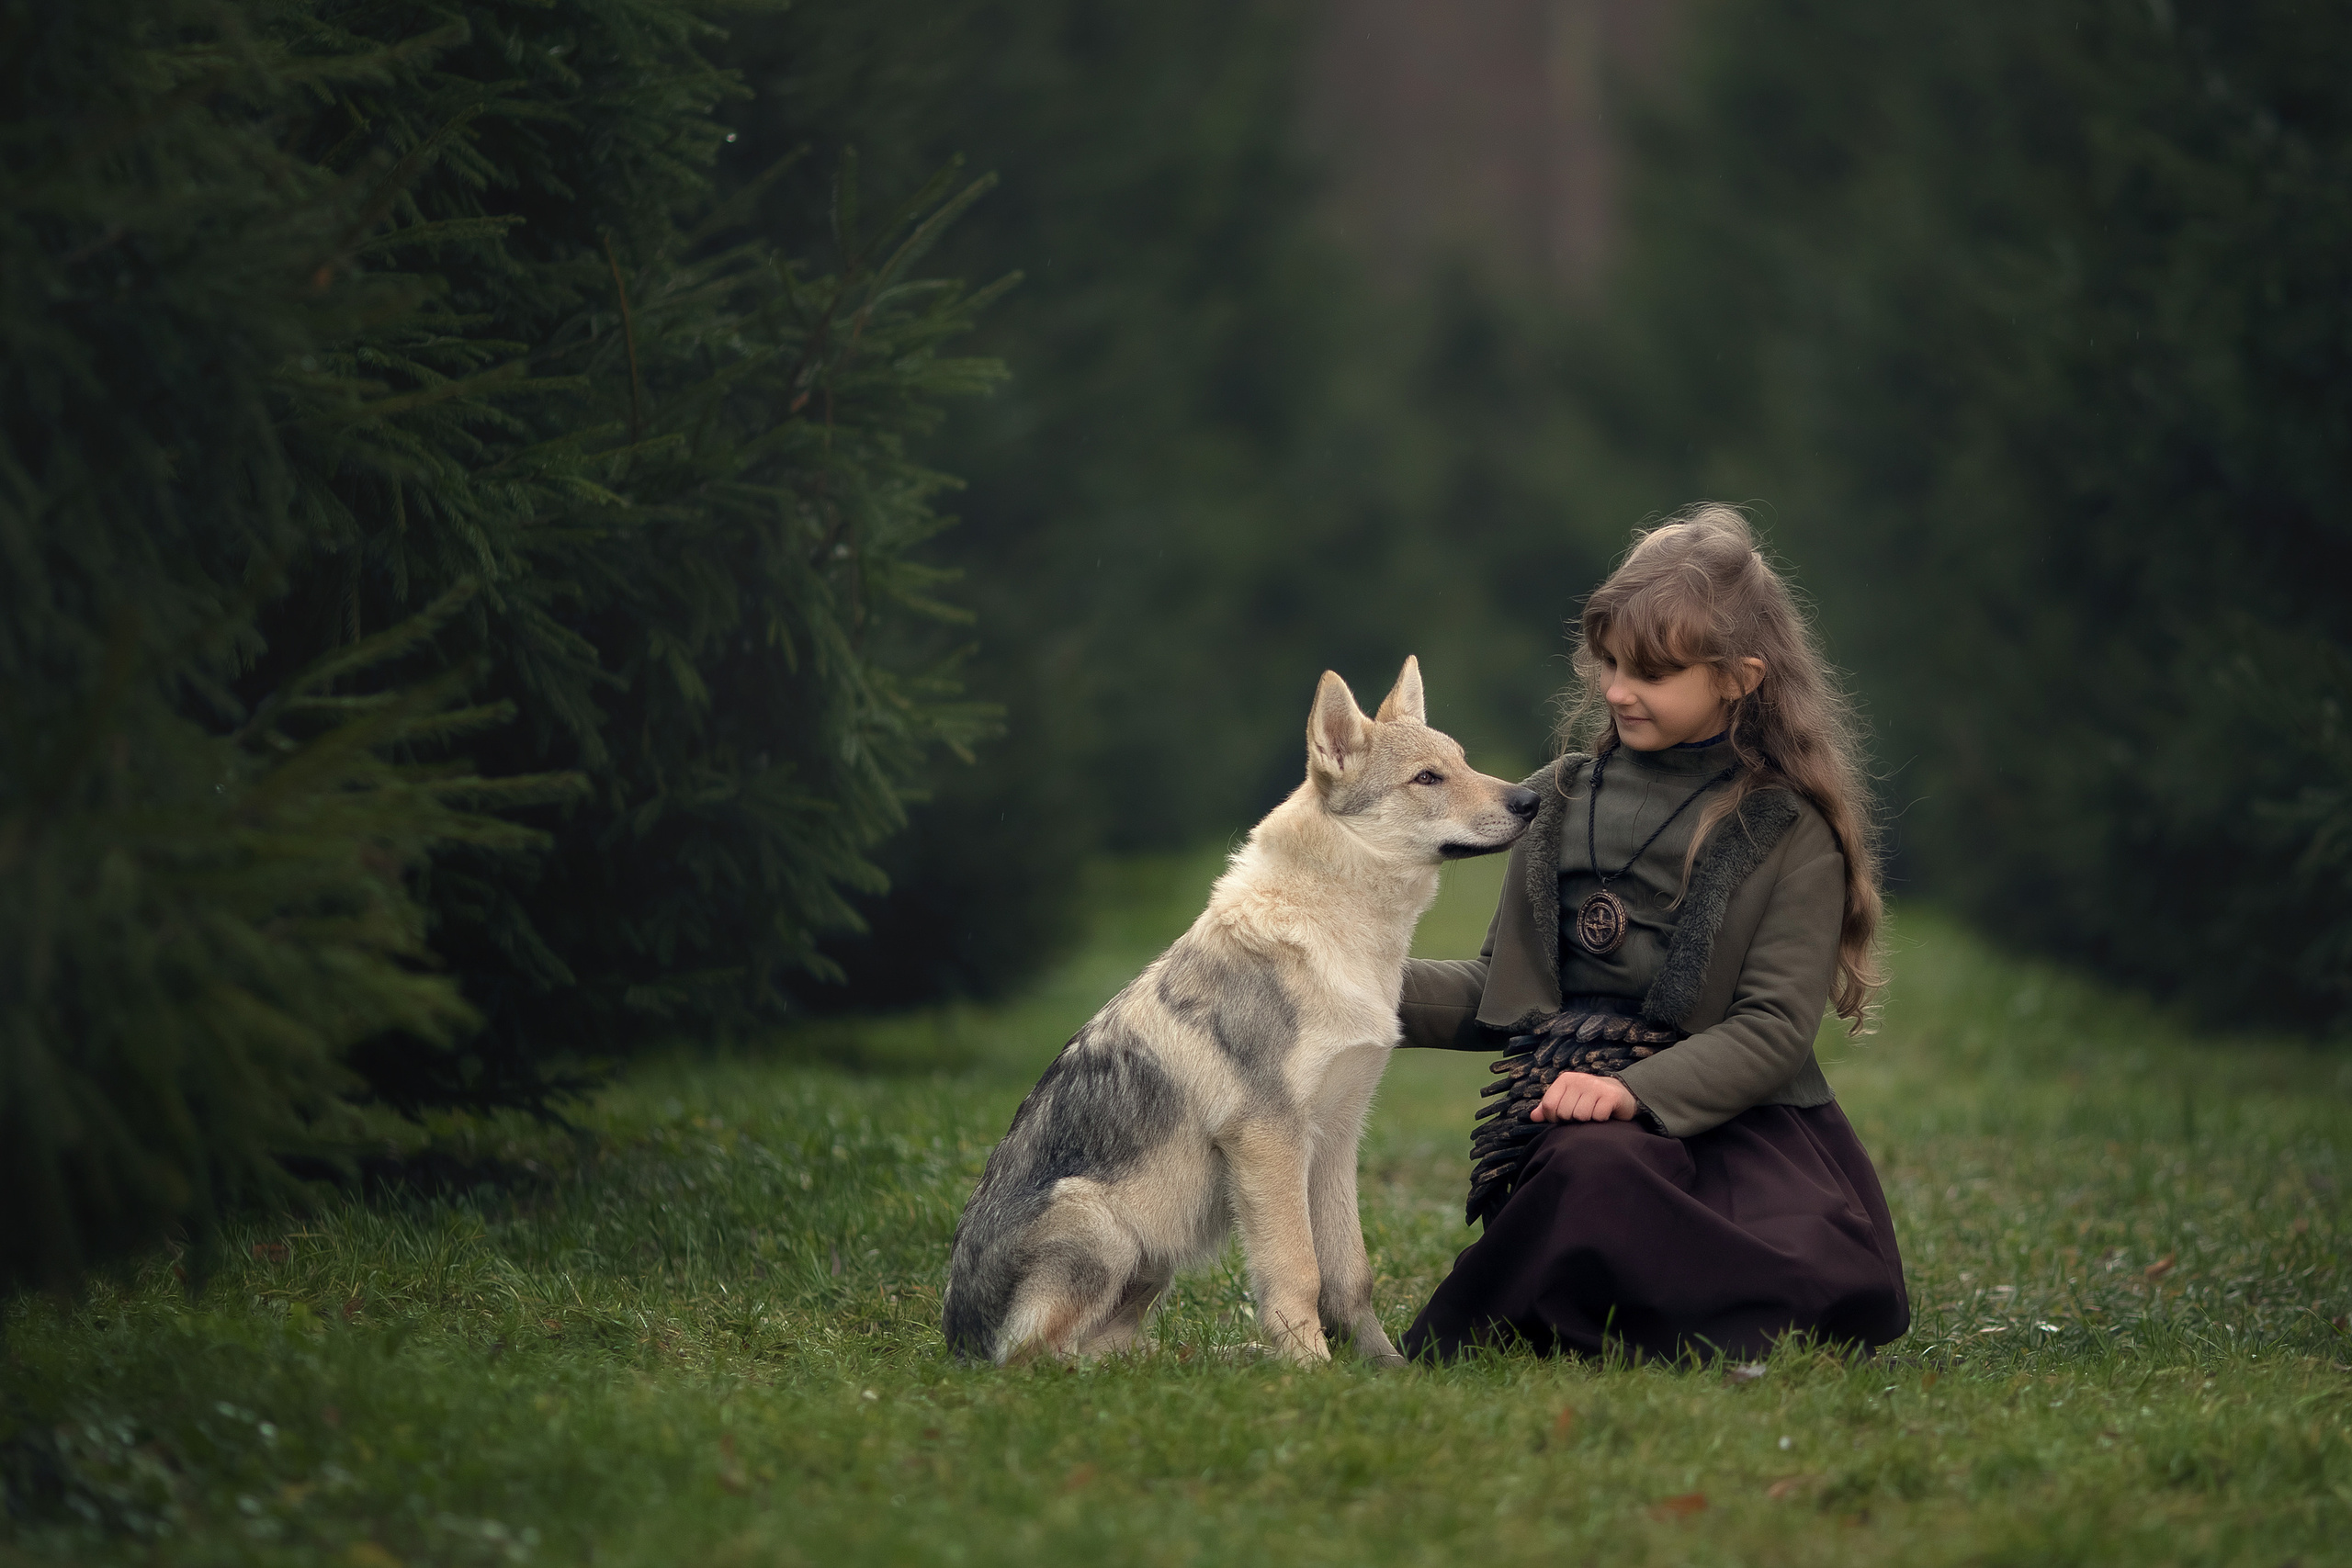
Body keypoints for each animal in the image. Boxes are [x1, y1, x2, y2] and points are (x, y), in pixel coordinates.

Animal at [941, 657, 1539, 1366]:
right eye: (1428, 778)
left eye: (1464, 763)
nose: (1531, 800)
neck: (1343, 938)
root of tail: (955, 1341)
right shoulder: (1268, 1138)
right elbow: (1299, 1272)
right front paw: (1311, 1369)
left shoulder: (1336, 1138)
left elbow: (1350, 1275)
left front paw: (1384, 1368)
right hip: (1104, 1229)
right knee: (1035, 1359)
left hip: (1153, 1259)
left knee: (1105, 1347)